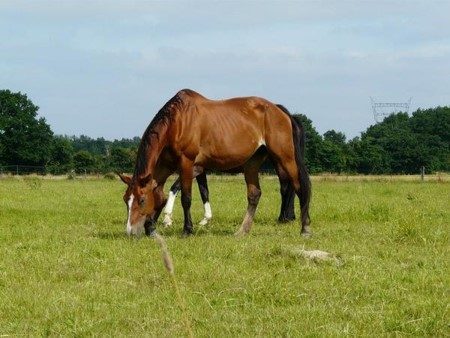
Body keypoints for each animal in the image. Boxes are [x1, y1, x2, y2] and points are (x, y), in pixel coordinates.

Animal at [118, 90, 312, 238]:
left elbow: (185, 197)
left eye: (142, 200)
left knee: (298, 187)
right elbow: (161, 194)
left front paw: (186, 229)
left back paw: (304, 228)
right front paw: (152, 227)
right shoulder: (167, 166)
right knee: (254, 194)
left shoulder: (187, 163)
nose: (130, 231)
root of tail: (282, 112)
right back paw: (242, 231)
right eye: (126, 200)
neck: (177, 122)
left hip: (285, 158)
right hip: (252, 163)